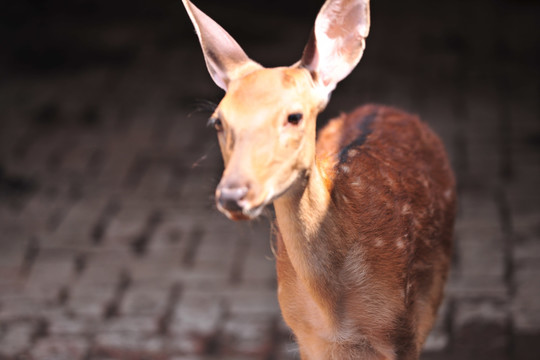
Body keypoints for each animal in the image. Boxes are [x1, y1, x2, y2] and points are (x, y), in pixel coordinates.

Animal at [181, 0, 456, 360]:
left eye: (294, 116)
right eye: (217, 121)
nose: (232, 194)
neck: (332, 313)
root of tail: (386, 107)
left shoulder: (403, 330)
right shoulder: (305, 336)